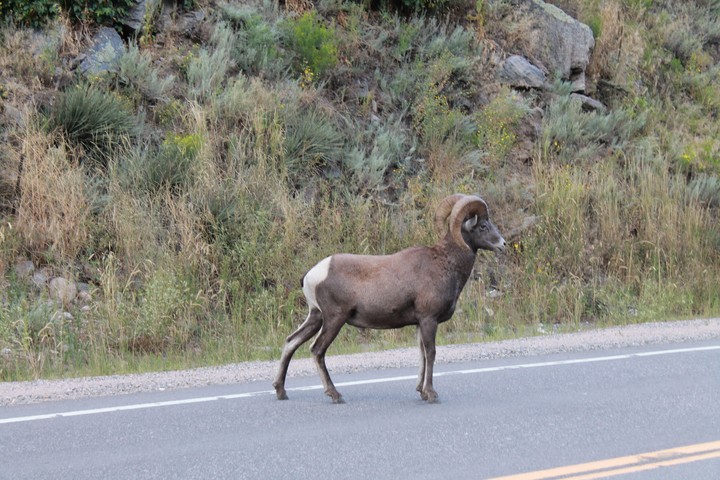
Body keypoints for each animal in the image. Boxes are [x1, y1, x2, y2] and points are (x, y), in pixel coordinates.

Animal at [272, 194, 506, 403]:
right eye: (483, 226)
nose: (502, 244)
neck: (445, 263)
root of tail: (313, 273)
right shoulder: (429, 319)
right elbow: (431, 353)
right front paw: (431, 394)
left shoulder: (420, 323)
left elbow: (421, 354)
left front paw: (421, 392)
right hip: (334, 319)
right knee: (317, 350)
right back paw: (335, 395)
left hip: (316, 317)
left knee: (291, 342)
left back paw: (281, 391)